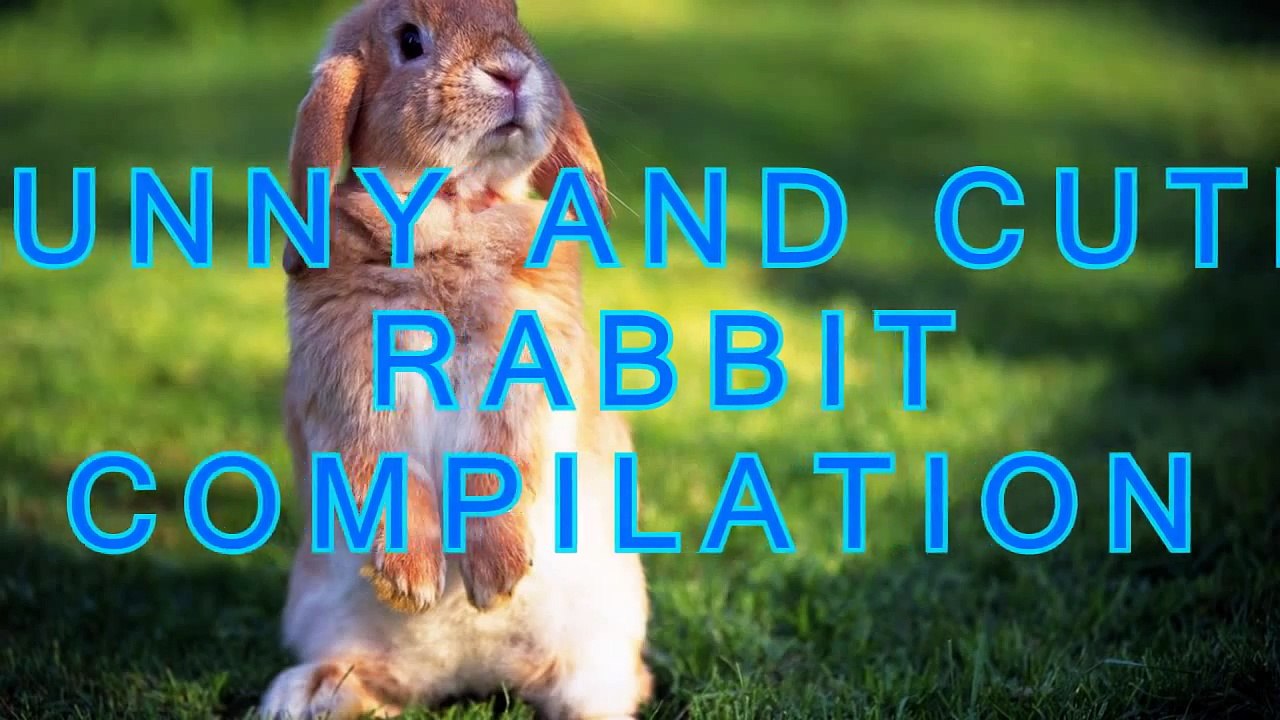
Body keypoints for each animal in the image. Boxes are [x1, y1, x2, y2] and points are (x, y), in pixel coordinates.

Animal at [257, 1, 653, 718]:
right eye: (410, 40)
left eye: (516, 18)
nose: (511, 70)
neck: (449, 212)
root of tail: (471, 673)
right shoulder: (352, 393)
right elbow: (386, 473)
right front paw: (412, 584)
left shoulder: (523, 388)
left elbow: (498, 465)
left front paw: (496, 580)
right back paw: (306, 692)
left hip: (596, 655)